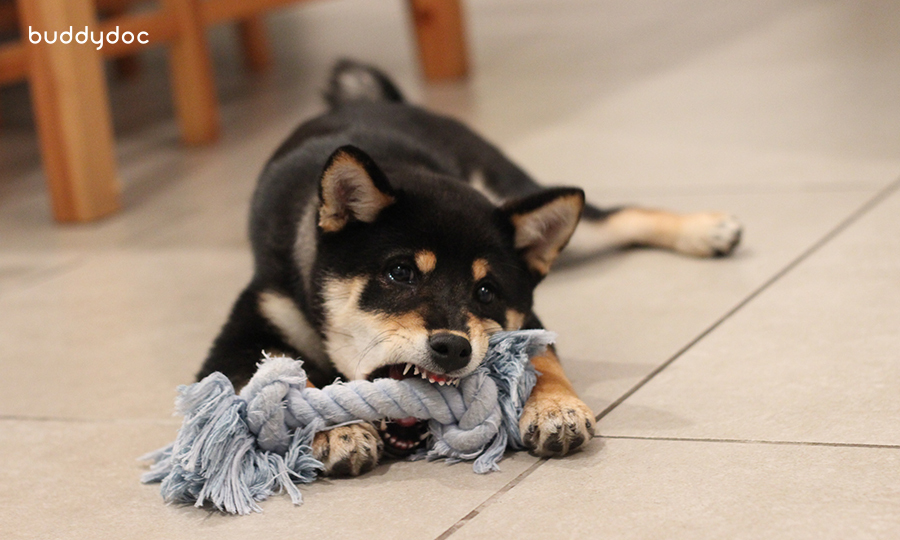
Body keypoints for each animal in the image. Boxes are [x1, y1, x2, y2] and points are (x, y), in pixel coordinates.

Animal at [195, 60, 740, 476]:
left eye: (486, 291)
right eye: (399, 273)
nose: (453, 348)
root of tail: (381, 102)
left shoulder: (527, 318)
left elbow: (541, 361)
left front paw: (557, 408)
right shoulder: (238, 341)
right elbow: (289, 383)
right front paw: (336, 427)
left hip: (513, 190)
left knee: (619, 216)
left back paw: (707, 229)